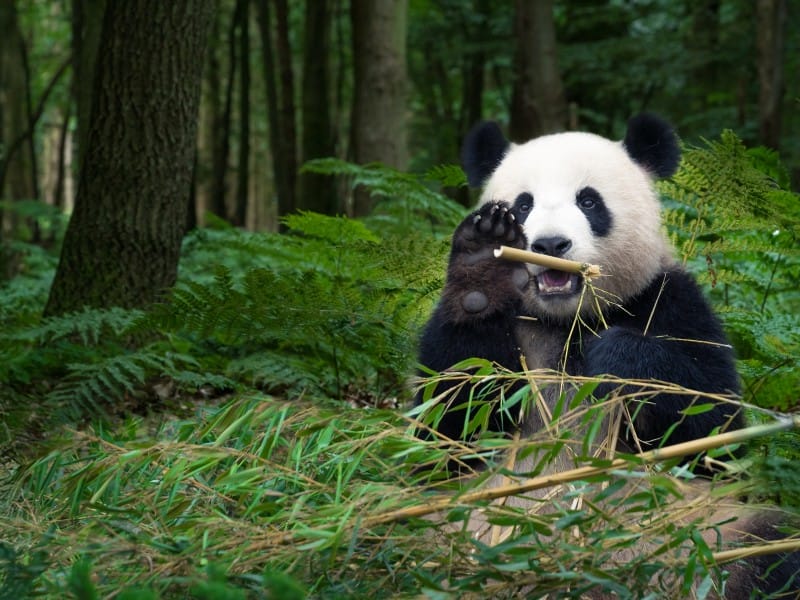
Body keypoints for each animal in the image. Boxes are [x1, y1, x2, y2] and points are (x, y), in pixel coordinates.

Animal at [415, 114, 799, 598]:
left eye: (589, 201)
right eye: (523, 205)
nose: (551, 245)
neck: (565, 322)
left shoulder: (670, 301)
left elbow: (713, 433)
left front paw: (615, 358)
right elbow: (449, 428)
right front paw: (481, 264)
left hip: (703, 535)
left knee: (769, 545)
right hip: (442, 526)